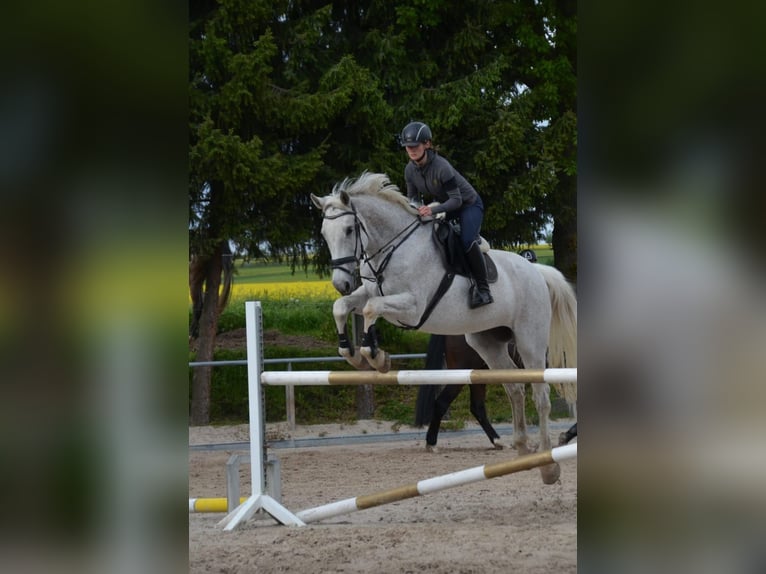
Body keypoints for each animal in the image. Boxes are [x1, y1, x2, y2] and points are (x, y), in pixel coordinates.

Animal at [310, 172, 577, 484]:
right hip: (486, 343)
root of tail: (536, 271)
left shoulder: (412, 307)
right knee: (514, 389)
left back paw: (548, 465)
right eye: (324, 234)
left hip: (529, 341)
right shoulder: (370, 292)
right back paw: (522, 449)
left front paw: (374, 356)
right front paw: (354, 354)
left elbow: (370, 309)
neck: (393, 248)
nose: (341, 283)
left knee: (540, 395)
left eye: (350, 230)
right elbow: (342, 307)